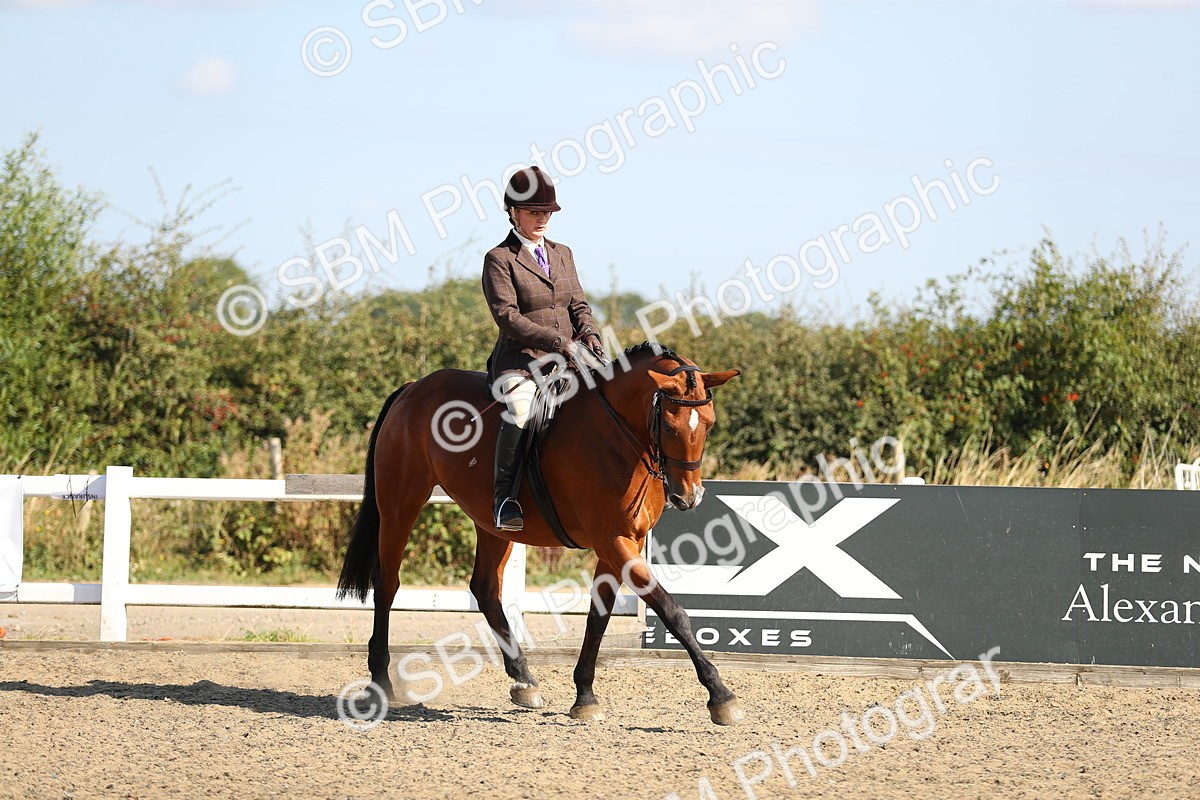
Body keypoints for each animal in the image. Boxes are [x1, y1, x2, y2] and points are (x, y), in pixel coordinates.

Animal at [335, 342, 744, 725]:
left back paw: (524, 680)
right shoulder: (612, 539)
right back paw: (381, 682)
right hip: (400, 504)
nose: (688, 497)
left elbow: (598, 617)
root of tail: (413, 388)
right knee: (387, 584)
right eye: (670, 426)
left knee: (485, 589)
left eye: (708, 424)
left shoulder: (624, 541)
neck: (618, 435)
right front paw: (721, 696)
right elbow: (671, 611)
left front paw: (584, 697)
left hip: (492, 524)